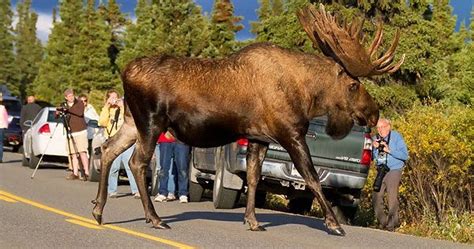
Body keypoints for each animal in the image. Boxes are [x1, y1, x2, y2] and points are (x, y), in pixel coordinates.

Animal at [90, 4, 402, 237]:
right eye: (353, 85)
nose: (373, 114)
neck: (307, 95)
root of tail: (125, 72)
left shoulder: (258, 138)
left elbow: (253, 178)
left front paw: (252, 220)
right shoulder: (290, 133)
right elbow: (312, 177)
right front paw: (334, 224)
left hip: (132, 122)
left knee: (107, 149)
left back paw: (98, 210)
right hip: (152, 122)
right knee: (136, 162)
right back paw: (153, 218)